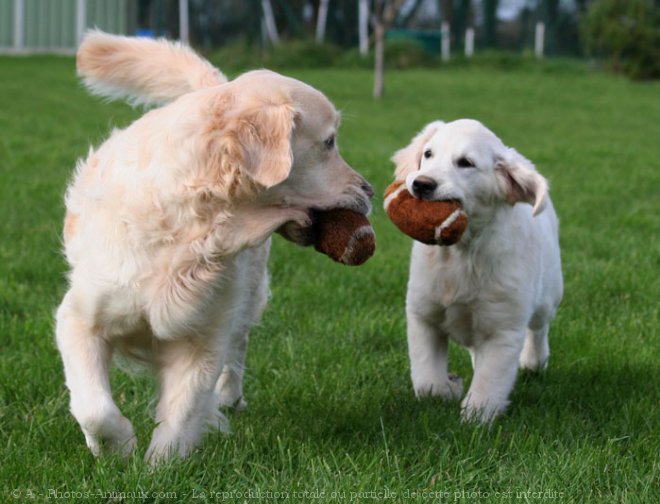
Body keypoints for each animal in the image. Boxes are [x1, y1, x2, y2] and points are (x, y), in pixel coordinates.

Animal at [54, 31, 374, 462]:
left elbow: (182, 412)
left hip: (247, 293)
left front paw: (161, 466)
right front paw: (116, 446)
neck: (194, 229)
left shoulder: (202, 335)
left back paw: (229, 397)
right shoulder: (80, 317)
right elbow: (94, 407)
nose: (369, 190)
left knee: (237, 346)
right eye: (329, 142)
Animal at [392, 118, 564, 422]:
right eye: (428, 154)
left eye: (465, 163)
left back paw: (534, 360)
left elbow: (489, 381)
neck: (462, 251)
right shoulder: (422, 313)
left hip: (548, 295)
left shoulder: (503, 329)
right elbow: (426, 380)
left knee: (539, 327)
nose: (422, 184)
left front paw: (475, 417)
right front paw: (447, 388)